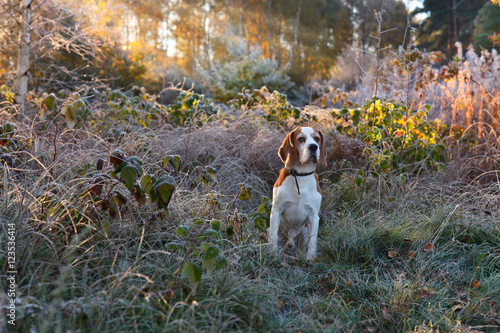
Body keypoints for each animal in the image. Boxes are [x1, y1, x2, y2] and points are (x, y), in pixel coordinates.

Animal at [268, 126, 326, 258]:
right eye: (301, 139)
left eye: (317, 139)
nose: (313, 146)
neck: (300, 175)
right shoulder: (276, 210)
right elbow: (273, 237)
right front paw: (273, 254)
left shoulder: (314, 216)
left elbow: (312, 242)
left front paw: (310, 259)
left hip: (303, 232)